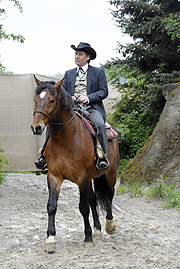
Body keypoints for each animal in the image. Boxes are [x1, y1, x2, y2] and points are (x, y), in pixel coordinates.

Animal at [31, 75, 119, 251]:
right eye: (35, 99)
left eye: (51, 100)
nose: (36, 127)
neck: (65, 139)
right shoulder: (54, 177)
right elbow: (52, 206)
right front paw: (50, 238)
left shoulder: (81, 178)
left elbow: (83, 207)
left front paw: (88, 237)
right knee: (93, 200)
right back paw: (97, 229)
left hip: (110, 174)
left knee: (109, 195)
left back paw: (109, 225)